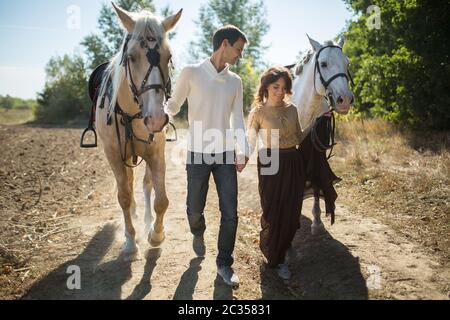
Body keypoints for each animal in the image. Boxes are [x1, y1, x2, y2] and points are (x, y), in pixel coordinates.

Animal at [96, 3, 182, 262]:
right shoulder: (114, 154)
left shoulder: (156, 153)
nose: (156, 118)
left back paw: (146, 221)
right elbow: (123, 196)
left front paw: (156, 234)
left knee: (145, 185)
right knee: (128, 185)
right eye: (131, 57)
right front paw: (130, 242)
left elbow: (161, 200)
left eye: (168, 57)